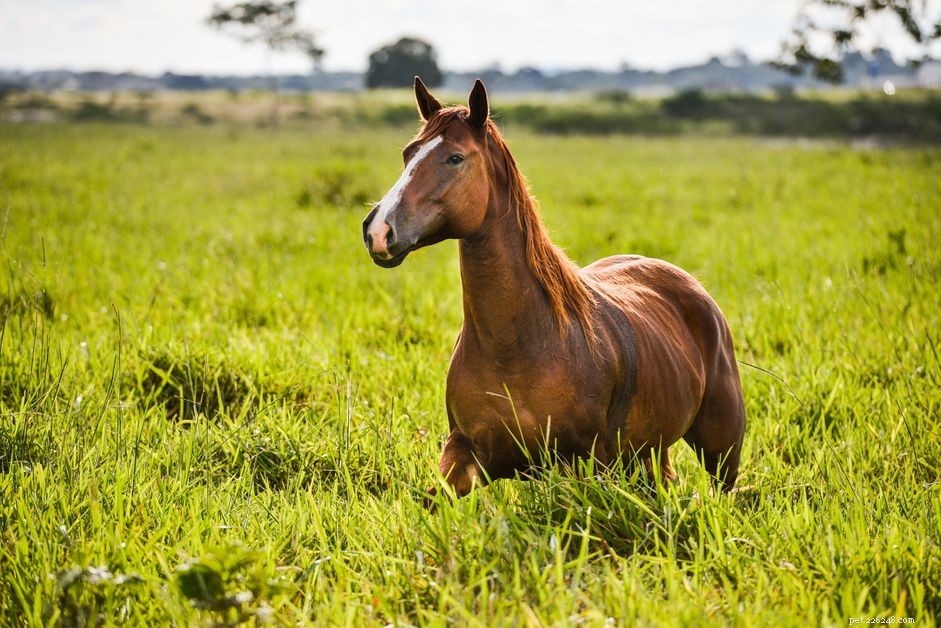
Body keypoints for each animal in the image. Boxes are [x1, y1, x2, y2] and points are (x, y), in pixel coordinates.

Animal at [362, 77, 745, 499]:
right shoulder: (465, 453)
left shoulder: (587, 462)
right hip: (647, 452)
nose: (378, 231)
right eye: (408, 154)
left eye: (455, 158)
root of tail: (689, 285)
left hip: (720, 448)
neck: (519, 344)